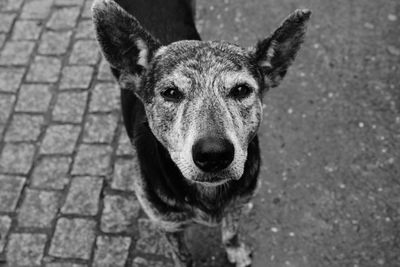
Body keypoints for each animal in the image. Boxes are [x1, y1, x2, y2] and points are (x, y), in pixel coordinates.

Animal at [92, 1, 310, 266]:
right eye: (171, 92)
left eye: (241, 90)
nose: (214, 154)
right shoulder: (168, 225)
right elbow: (183, 255)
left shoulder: (238, 204)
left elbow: (231, 232)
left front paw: (235, 250)